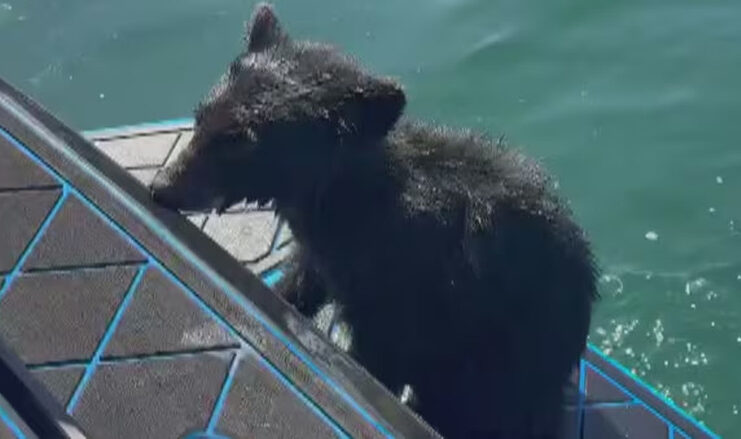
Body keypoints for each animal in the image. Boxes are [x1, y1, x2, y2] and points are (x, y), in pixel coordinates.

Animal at [151, 3, 598, 438]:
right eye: (201, 116)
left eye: (241, 142)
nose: (161, 186)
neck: (347, 199)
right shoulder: (328, 253)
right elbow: (305, 277)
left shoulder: (407, 295)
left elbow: (381, 356)